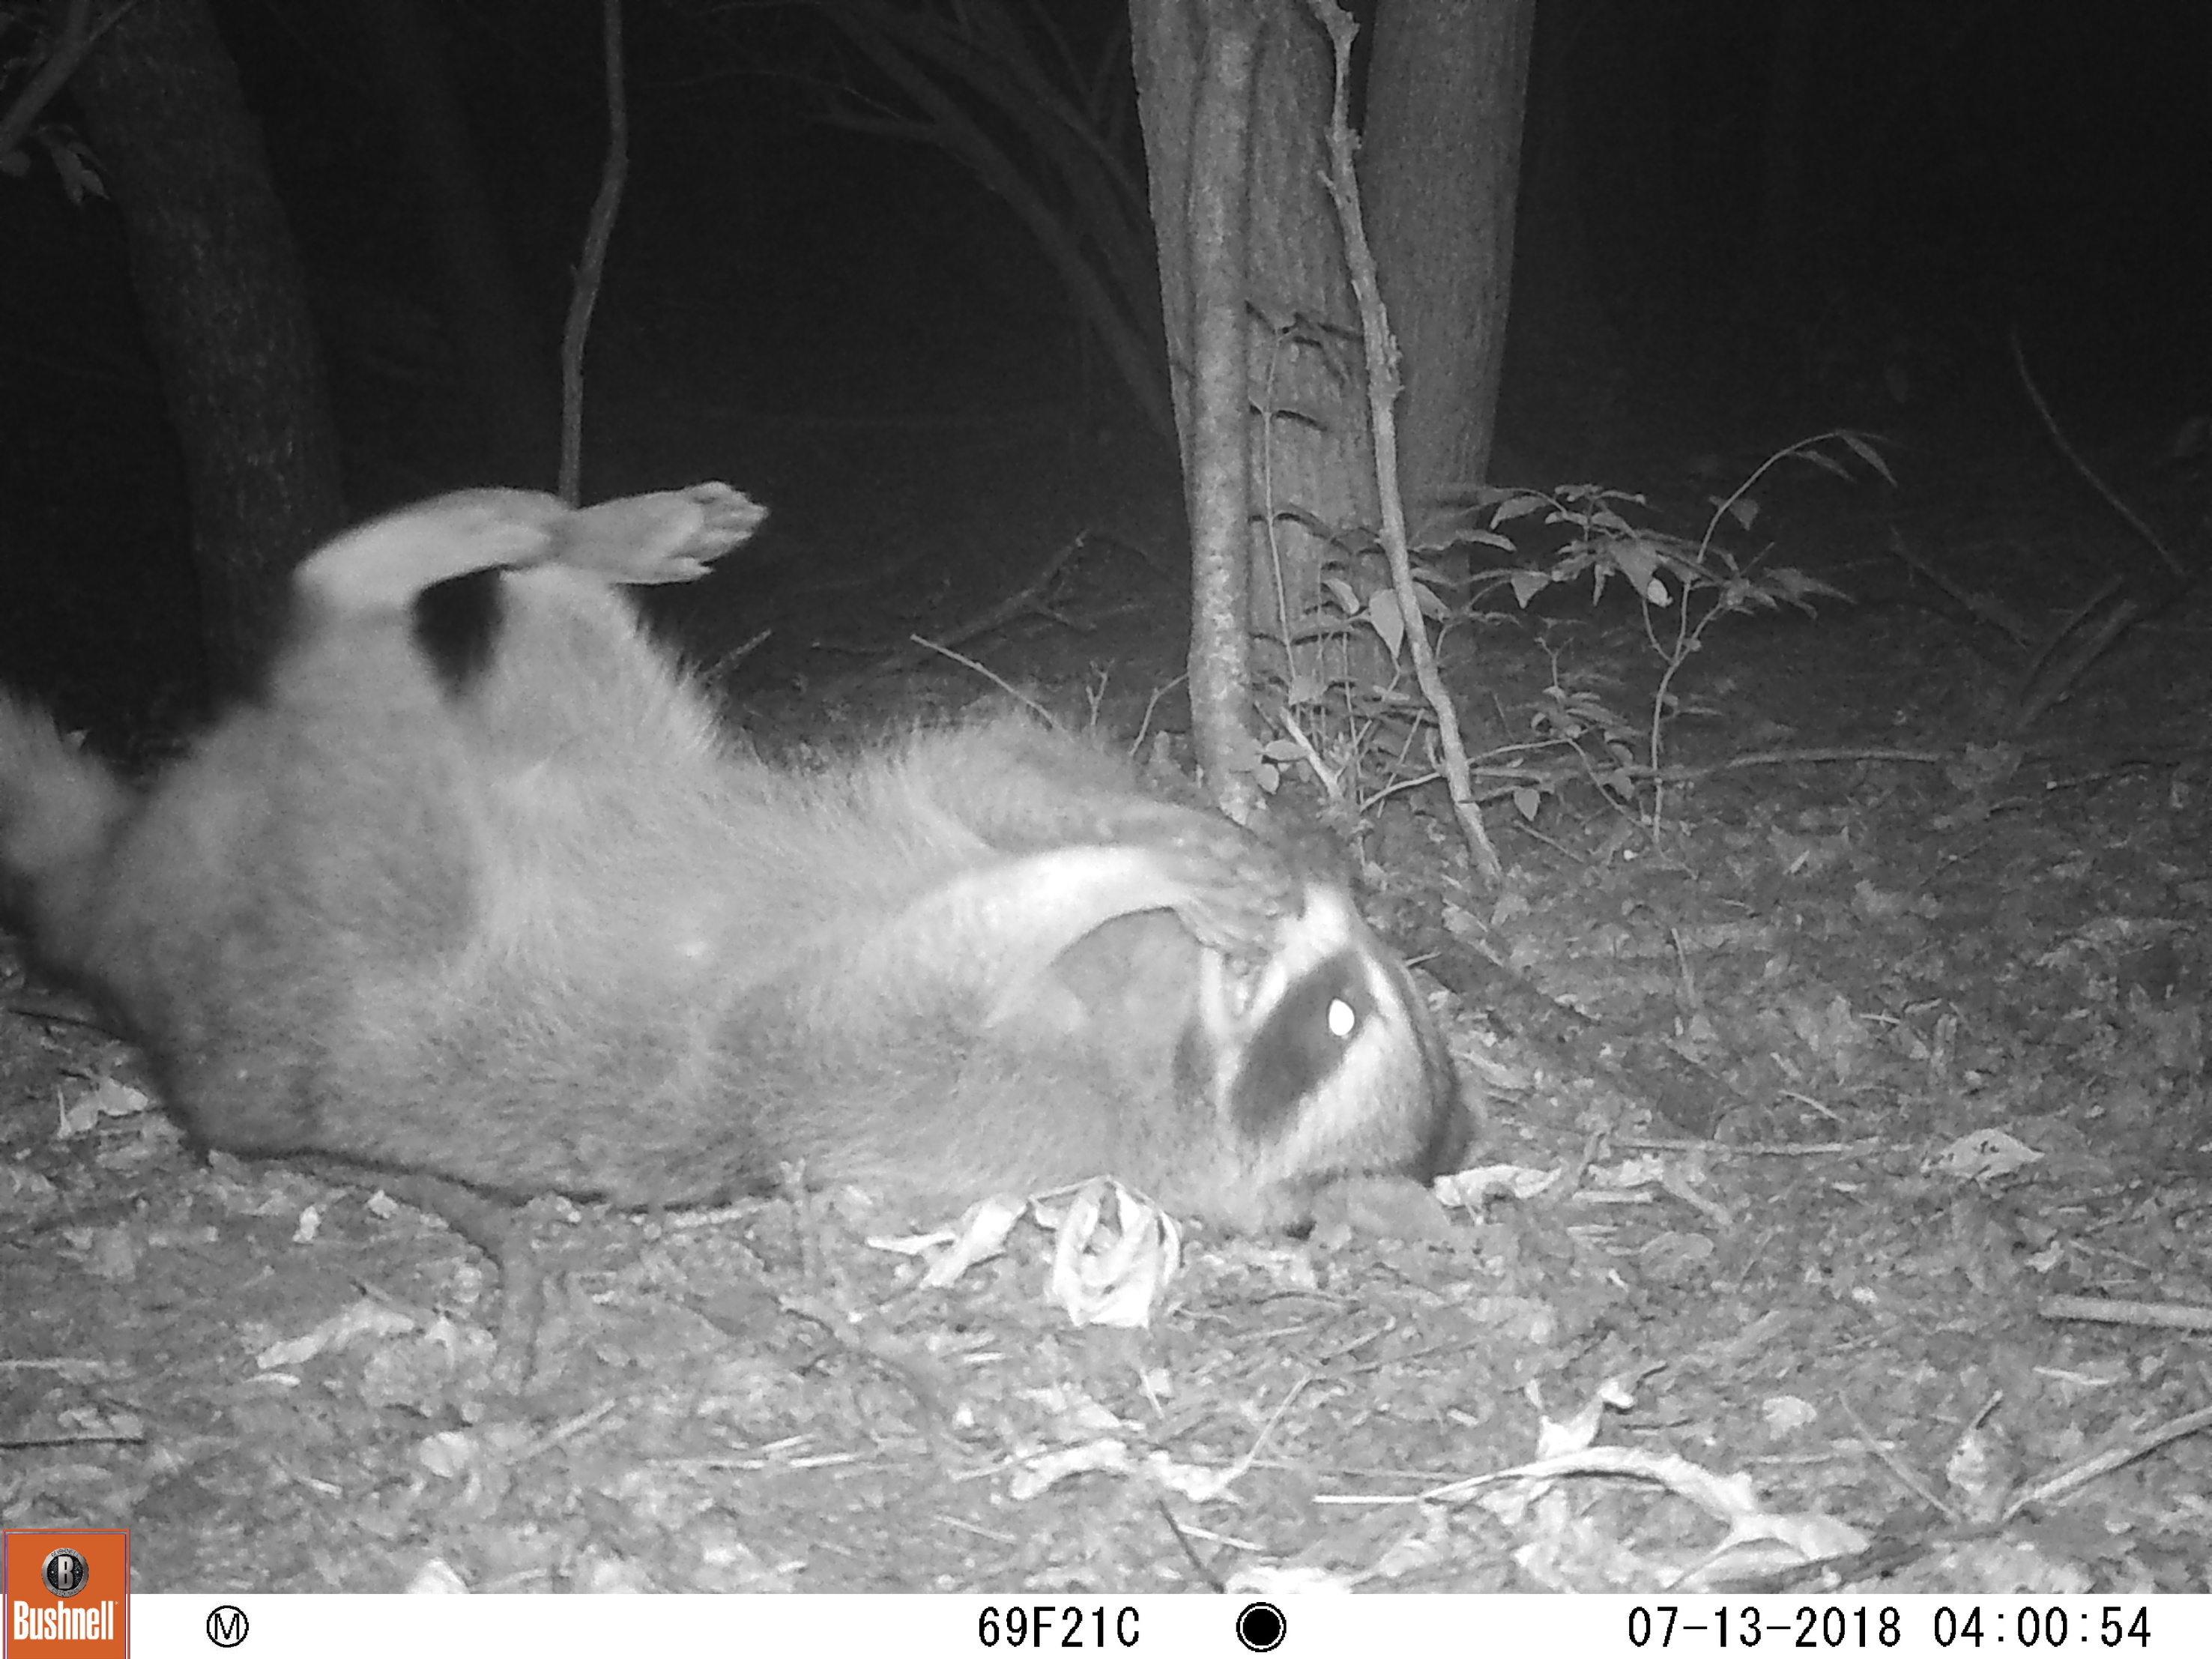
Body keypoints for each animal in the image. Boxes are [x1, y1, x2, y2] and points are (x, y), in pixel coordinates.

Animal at [0, 480, 1469, 1239]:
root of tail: (126, 900)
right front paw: (1170, 834)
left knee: (358, 693)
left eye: (1340, 1017)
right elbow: (980, 761)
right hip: (564, 774)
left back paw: (363, 570)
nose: (1307, 902)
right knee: (597, 684)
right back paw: (582, 533)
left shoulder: (975, 1118)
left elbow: (892, 985)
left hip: (356, 894)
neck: (1173, 1017)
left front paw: (1122, 868)